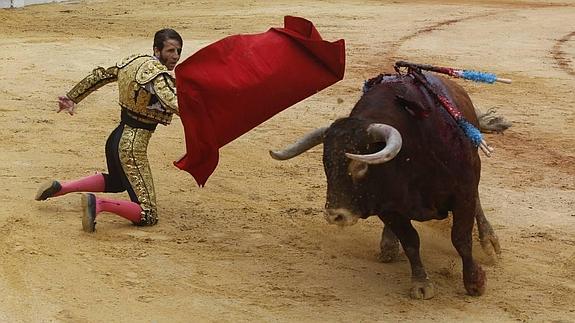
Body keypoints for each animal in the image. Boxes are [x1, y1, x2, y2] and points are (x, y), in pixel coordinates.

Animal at [270, 73, 500, 302]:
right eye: (326, 163)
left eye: (360, 165)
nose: (335, 216)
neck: (411, 154)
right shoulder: (388, 209)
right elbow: (411, 242)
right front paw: (421, 284)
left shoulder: (463, 194)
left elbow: (461, 239)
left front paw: (474, 282)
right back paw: (388, 244)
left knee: (477, 205)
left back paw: (489, 241)